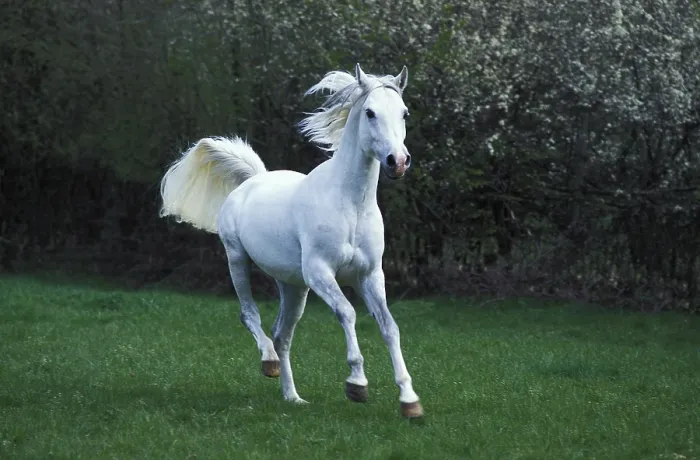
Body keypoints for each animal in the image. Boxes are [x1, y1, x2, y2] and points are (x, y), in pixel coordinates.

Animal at [159, 64, 423, 418]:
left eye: (404, 113)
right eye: (370, 112)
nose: (398, 161)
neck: (350, 205)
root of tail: (253, 180)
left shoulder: (369, 275)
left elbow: (389, 327)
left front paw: (409, 401)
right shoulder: (320, 272)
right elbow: (348, 313)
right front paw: (357, 384)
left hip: (293, 287)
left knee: (282, 335)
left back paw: (292, 397)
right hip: (237, 260)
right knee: (251, 316)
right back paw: (269, 363)